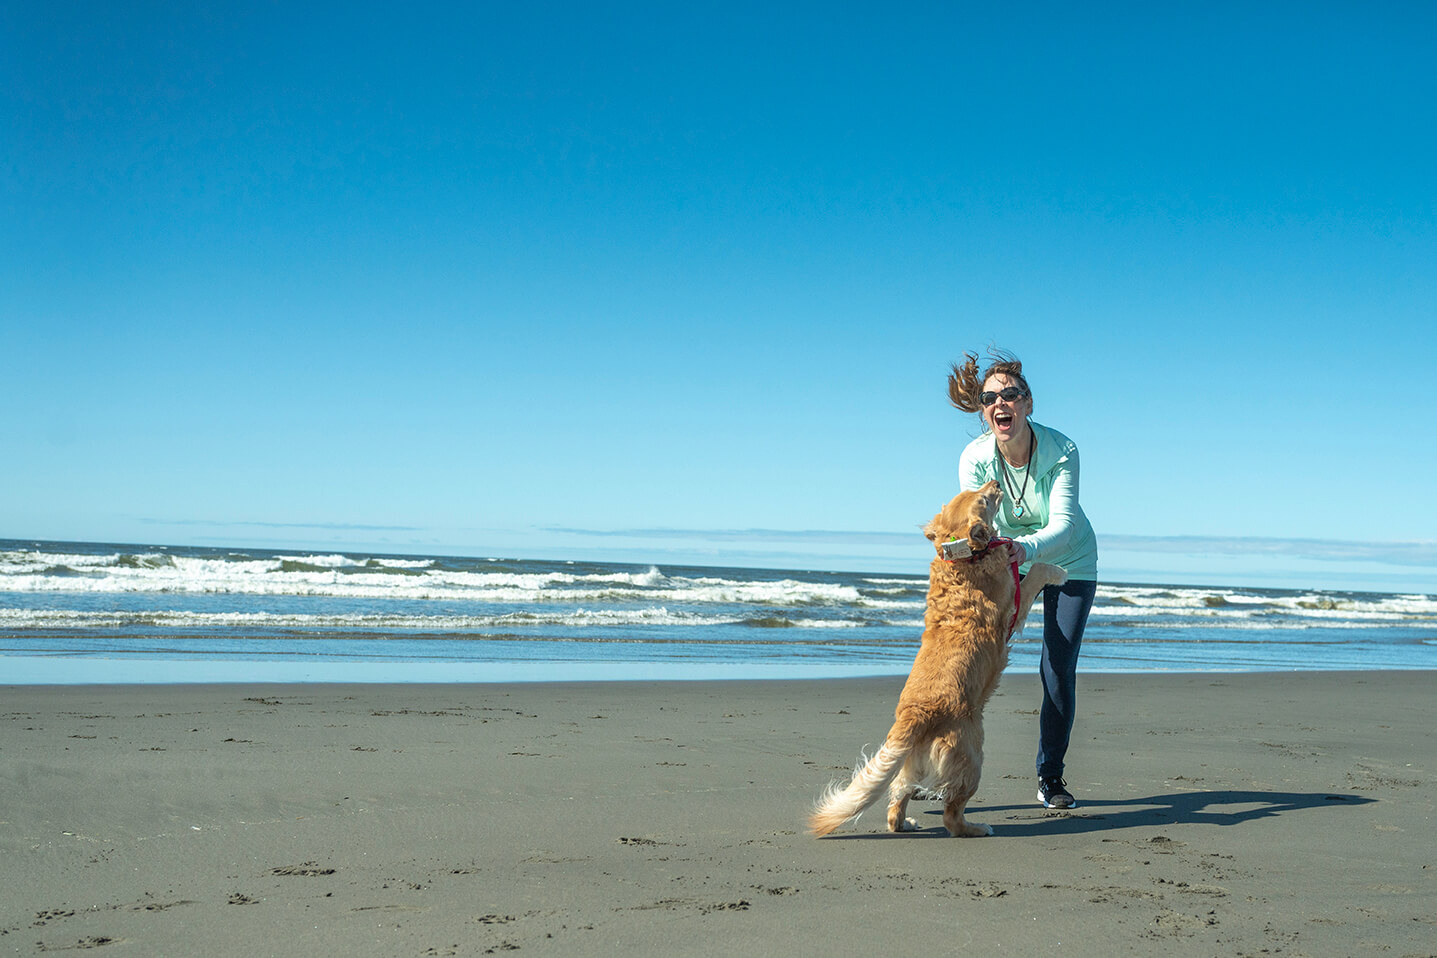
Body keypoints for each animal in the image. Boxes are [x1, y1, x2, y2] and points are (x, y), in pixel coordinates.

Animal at [810, 482, 1069, 833]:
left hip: (913, 765)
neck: (963, 557)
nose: (996, 483)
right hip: (972, 754)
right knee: (951, 815)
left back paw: (906, 823)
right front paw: (1059, 571)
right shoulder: (1013, 607)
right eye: (984, 499)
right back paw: (976, 828)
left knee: (897, 800)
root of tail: (916, 714)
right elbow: (1037, 572)